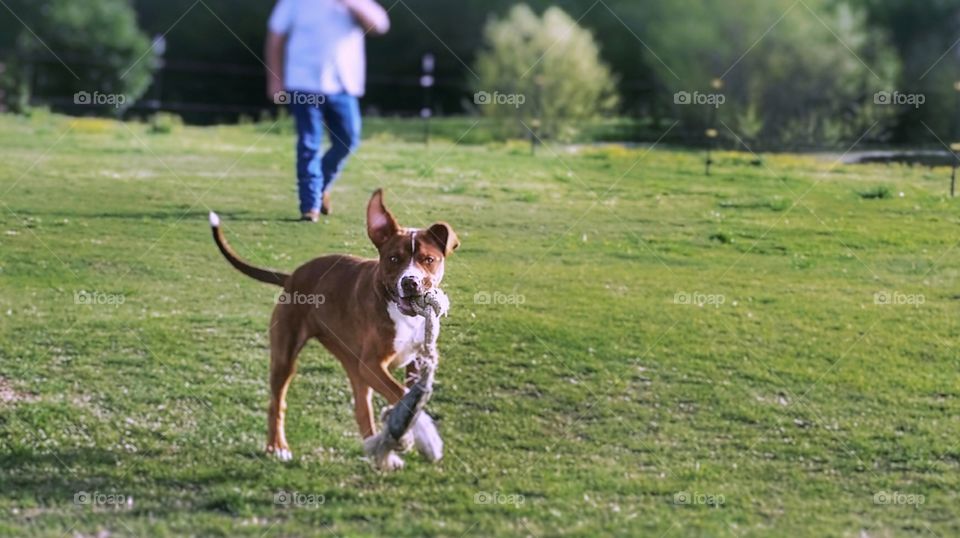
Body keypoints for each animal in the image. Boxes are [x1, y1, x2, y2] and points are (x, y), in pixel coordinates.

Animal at [207, 189, 462, 468]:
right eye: (394, 258)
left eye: (429, 259)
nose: (411, 282)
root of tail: (292, 276)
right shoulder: (372, 365)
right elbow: (403, 396)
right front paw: (426, 435)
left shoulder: (408, 363)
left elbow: (407, 396)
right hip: (286, 358)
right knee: (277, 403)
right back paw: (278, 447)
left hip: (353, 365)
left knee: (361, 408)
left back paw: (378, 452)